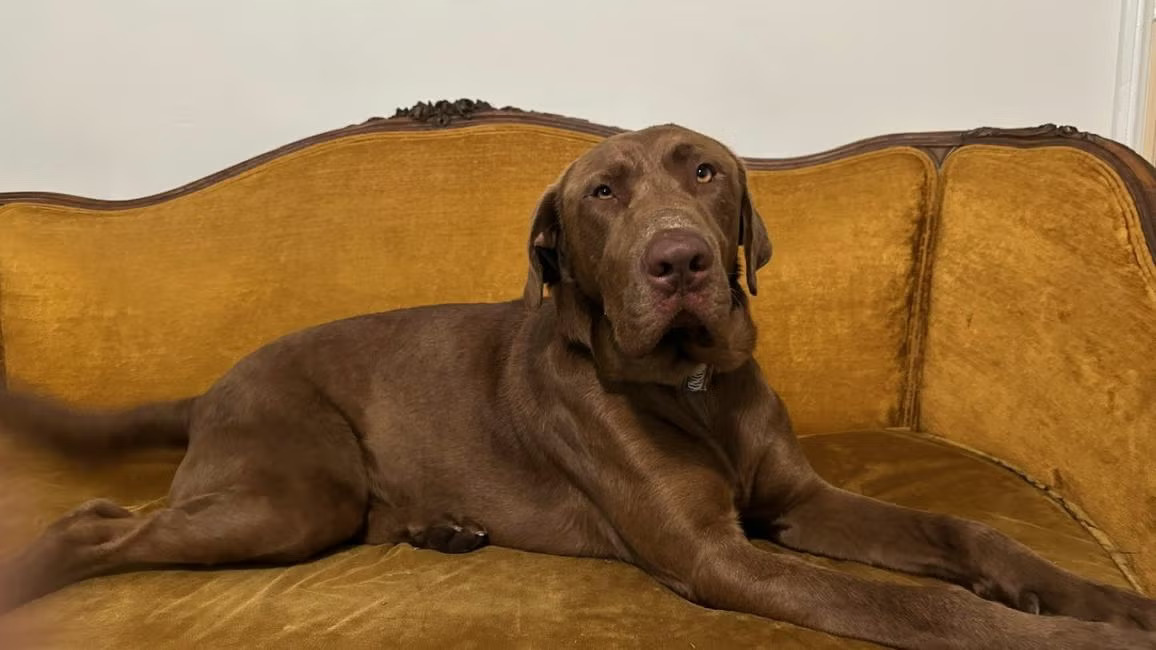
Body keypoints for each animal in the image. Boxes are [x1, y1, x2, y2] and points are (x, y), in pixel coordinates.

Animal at [2, 123, 1156, 643]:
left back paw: (443, 526)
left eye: (704, 172)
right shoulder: (720, 555)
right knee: (102, 524)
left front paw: (1100, 597)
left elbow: (968, 535)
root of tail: (210, 387)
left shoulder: (797, 500)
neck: (692, 389)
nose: (681, 261)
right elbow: (921, 605)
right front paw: (1068, 635)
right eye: (601, 195)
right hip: (291, 491)